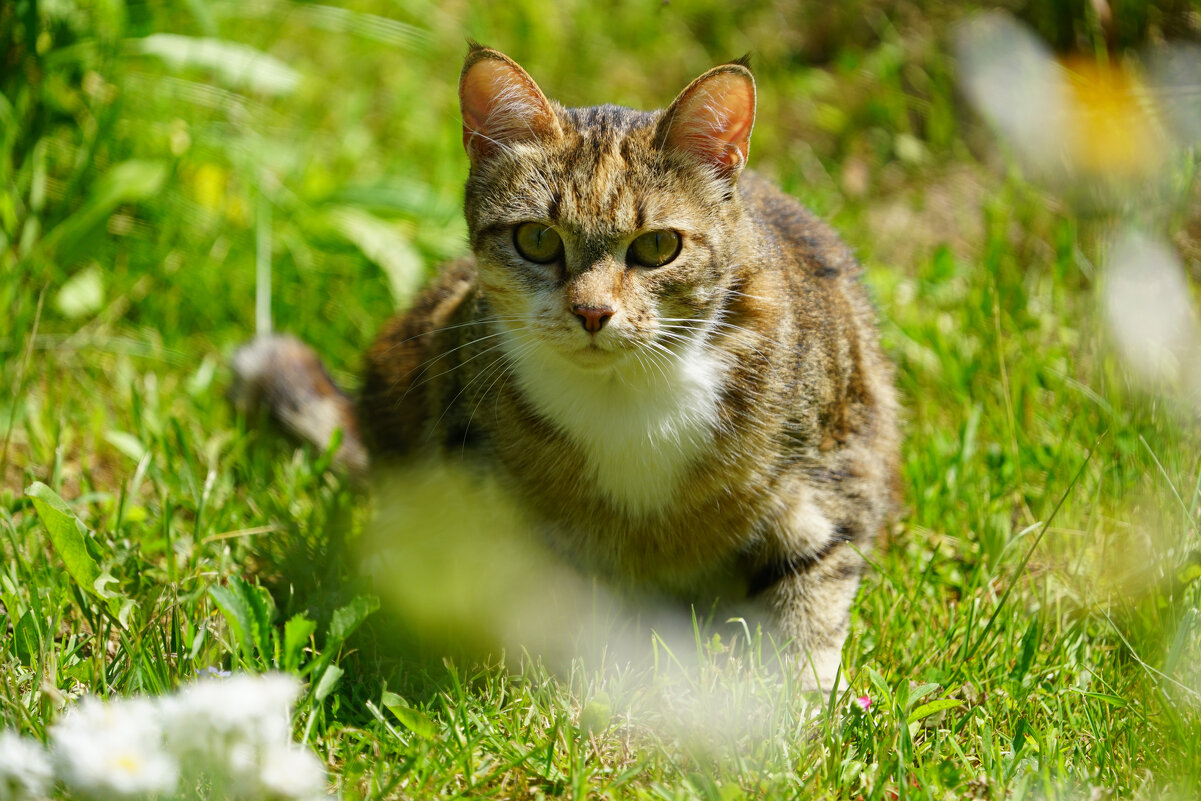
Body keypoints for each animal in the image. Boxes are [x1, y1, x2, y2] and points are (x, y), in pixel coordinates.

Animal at [231, 45, 903, 696]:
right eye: (536, 240)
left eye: (658, 246)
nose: (592, 311)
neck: (624, 396)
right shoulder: (483, 467)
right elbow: (545, 589)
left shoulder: (838, 457)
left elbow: (816, 574)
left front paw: (804, 692)